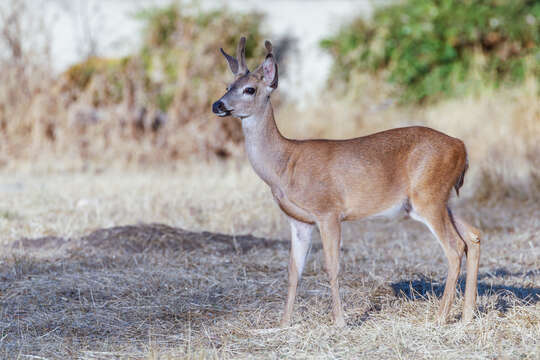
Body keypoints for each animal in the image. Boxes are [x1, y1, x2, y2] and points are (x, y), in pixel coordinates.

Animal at [211, 36, 480, 326]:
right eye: (227, 87)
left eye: (249, 89)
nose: (218, 105)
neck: (284, 165)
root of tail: (461, 147)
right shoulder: (299, 221)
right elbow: (294, 272)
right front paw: (283, 324)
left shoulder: (328, 211)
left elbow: (332, 267)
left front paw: (339, 321)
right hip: (437, 199)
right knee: (473, 236)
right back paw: (466, 315)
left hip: (428, 196)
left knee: (455, 247)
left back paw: (440, 318)